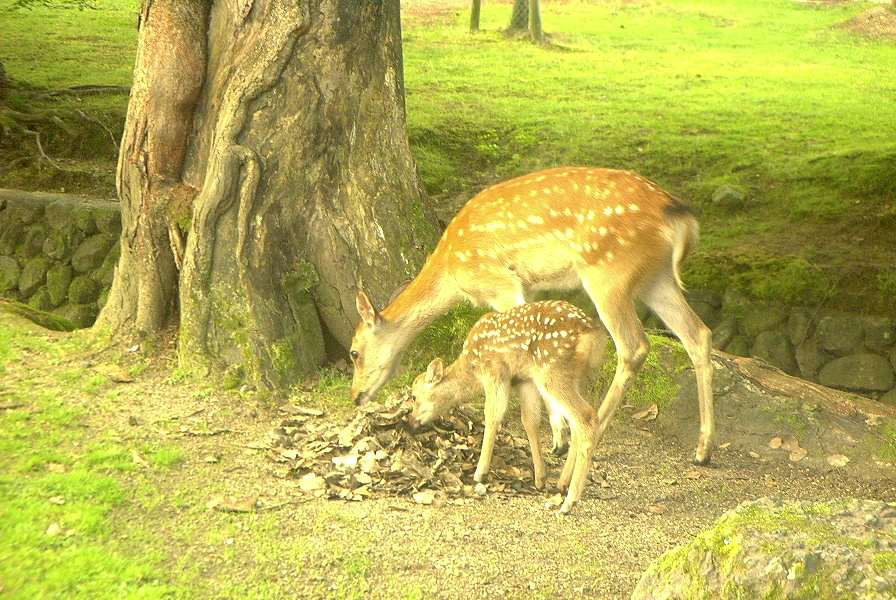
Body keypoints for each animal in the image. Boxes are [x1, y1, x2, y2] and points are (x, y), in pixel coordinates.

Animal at [350, 166, 715, 466]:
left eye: (354, 352)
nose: (355, 396)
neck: (451, 271)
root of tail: (679, 213)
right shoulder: (528, 287)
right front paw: (557, 432)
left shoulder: (500, 283)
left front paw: (558, 437)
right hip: (657, 277)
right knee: (698, 334)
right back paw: (703, 450)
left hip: (608, 270)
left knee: (634, 346)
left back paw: (593, 435)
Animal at [408, 300, 608, 514]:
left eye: (414, 396)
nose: (411, 422)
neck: (471, 366)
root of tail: (591, 333)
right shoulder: (524, 380)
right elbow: (529, 421)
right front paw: (540, 478)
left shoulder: (495, 371)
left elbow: (492, 415)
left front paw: (480, 473)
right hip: (576, 377)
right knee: (576, 422)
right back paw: (562, 483)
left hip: (553, 371)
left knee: (587, 417)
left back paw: (569, 502)